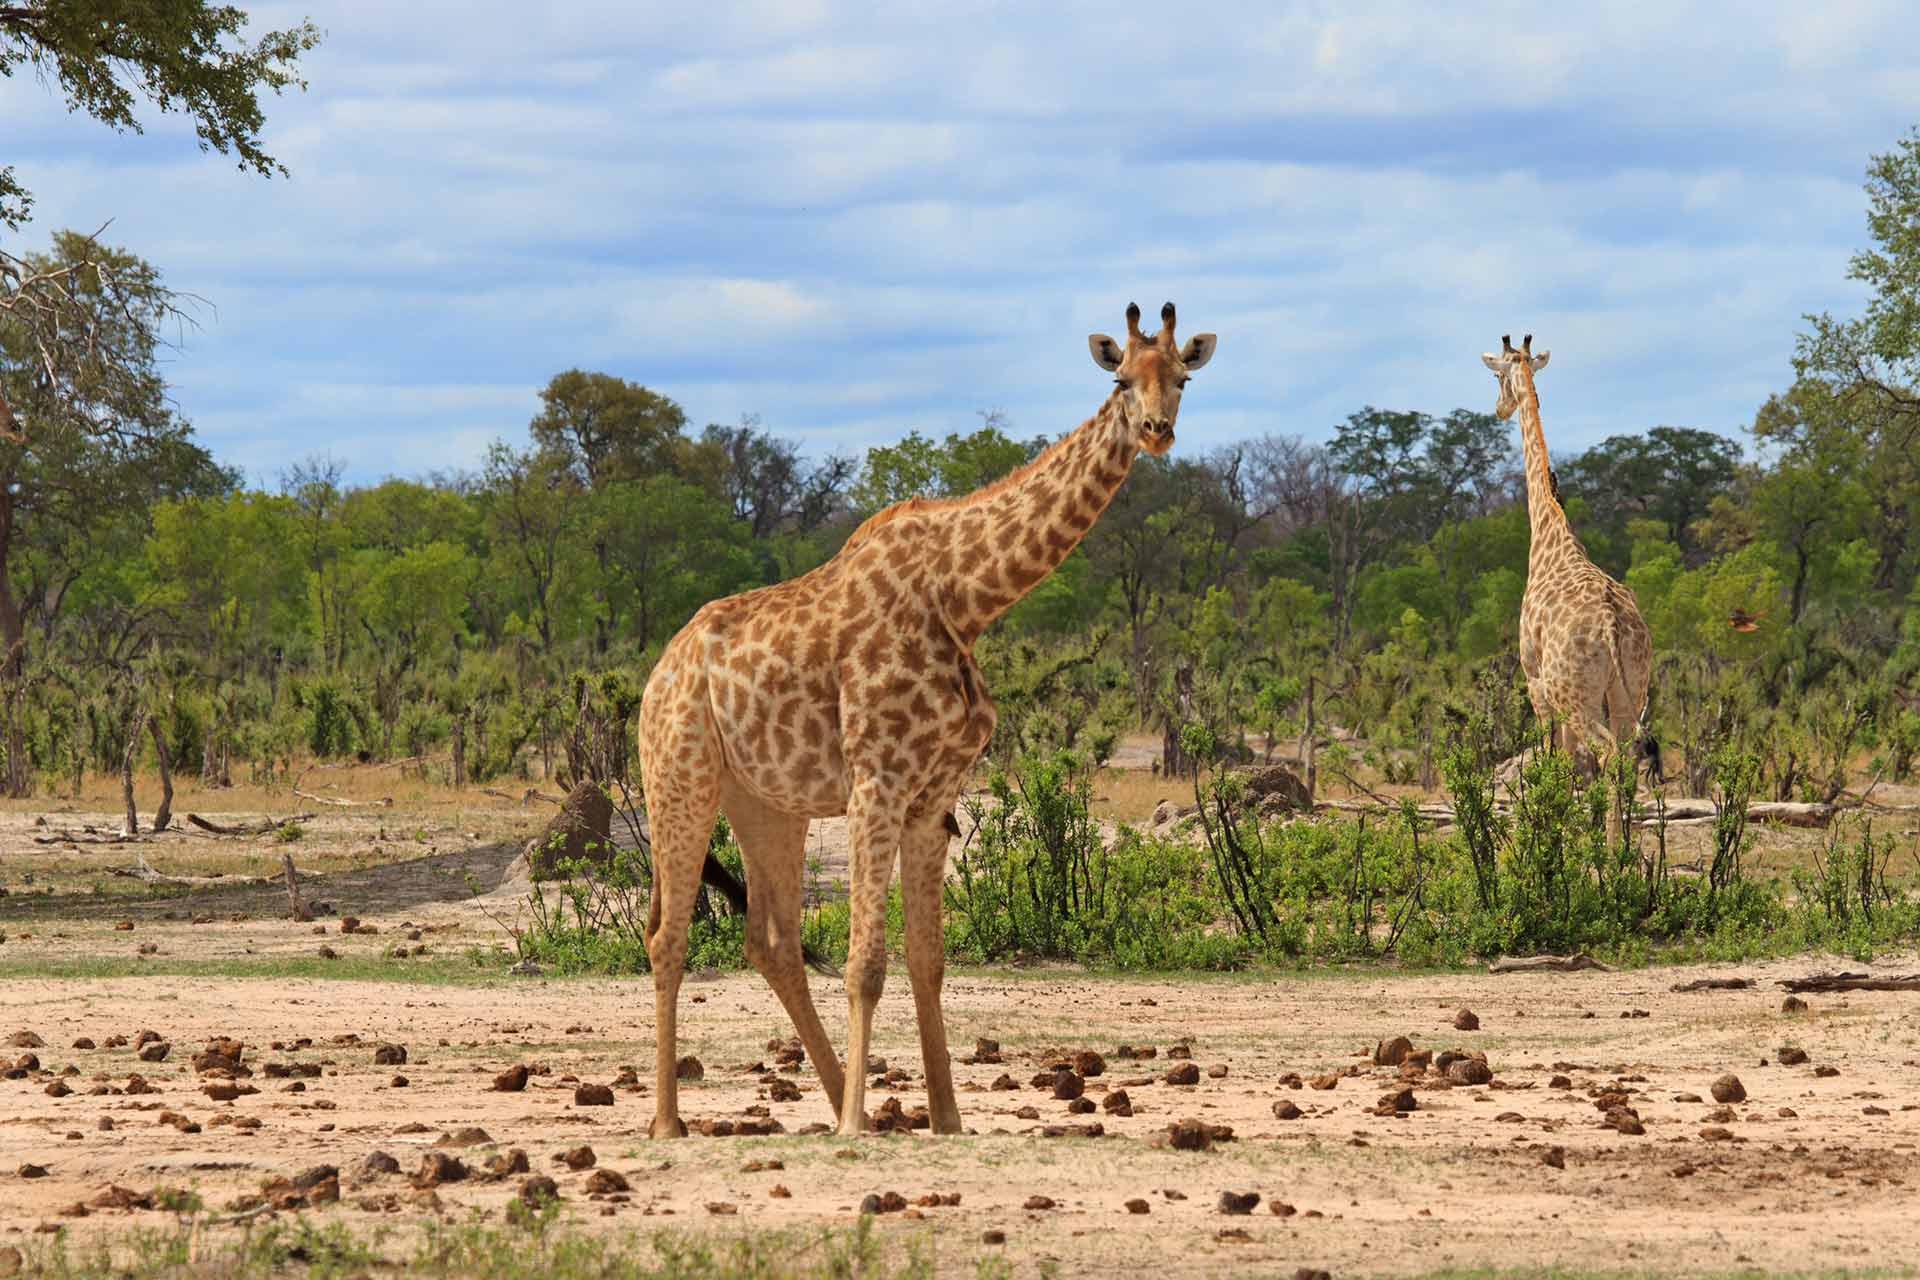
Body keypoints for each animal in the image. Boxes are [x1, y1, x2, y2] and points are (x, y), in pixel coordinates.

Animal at [637, 302, 1217, 1137]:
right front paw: (856, 1125)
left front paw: (943, 1117)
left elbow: (927, 961)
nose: (1155, 429)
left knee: (770, 940)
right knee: (667, 936)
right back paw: (671, 1122)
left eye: (1181, 378)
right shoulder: (877, 779)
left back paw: (839, 1098)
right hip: (678, 777)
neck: (966, 597)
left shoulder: (932, 794)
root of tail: (659, 672)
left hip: (765, 801)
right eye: (1119, 379)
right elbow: (866, 962)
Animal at [1481, 334, 1653, 798]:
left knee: (1606, 753)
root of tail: (1612, 626)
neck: (1548, 529)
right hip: (1631, 688)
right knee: (1626, 757)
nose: (1498, 409)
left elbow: (1555, 760)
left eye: (1497, 375)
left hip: (1572, 694)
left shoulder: (1534, 678)